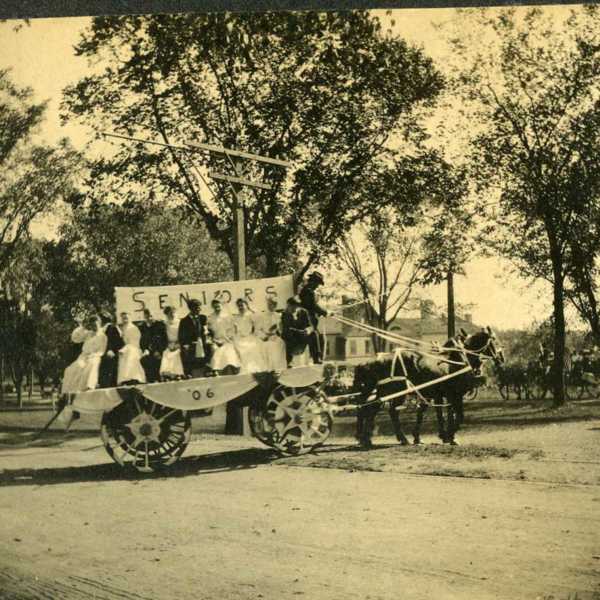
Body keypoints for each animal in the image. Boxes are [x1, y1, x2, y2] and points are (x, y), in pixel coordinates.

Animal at [356, 326, 502, 448]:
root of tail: (378, 360)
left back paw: (367, 438)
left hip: (384, 392)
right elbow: (458, 415)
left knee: (370, 409)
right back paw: (390, 438)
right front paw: (449, 436)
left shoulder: (438, 395)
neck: (459, 360)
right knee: (386, 411)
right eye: (495, 340)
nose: (501, 358)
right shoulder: (454, 395)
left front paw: (436, 436)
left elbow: (436, 412)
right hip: (395, 391)